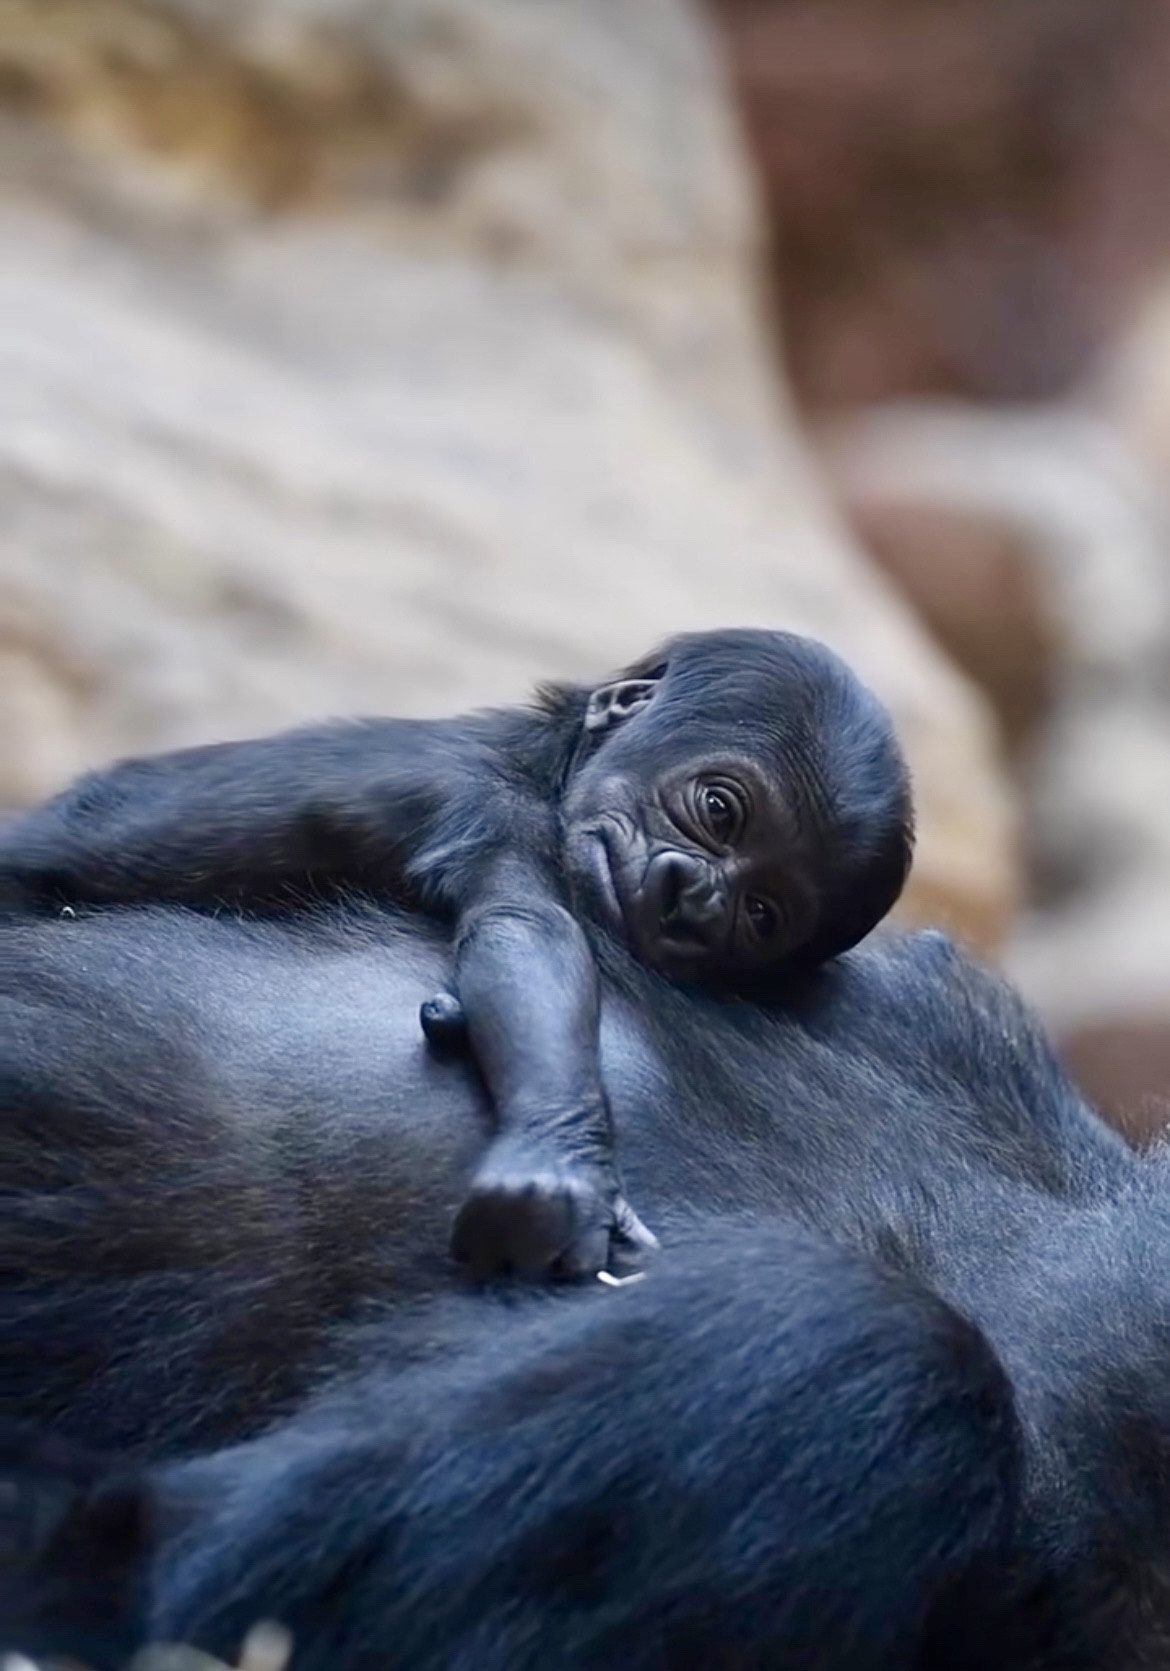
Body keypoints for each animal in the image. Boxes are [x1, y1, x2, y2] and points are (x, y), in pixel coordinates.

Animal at [0, 631, 915, 1269]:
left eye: (762, 914)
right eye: (719, 809)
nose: (692, 896)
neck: (547, 761)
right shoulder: (491, 801)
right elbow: (527, 933)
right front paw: (558, 1161)